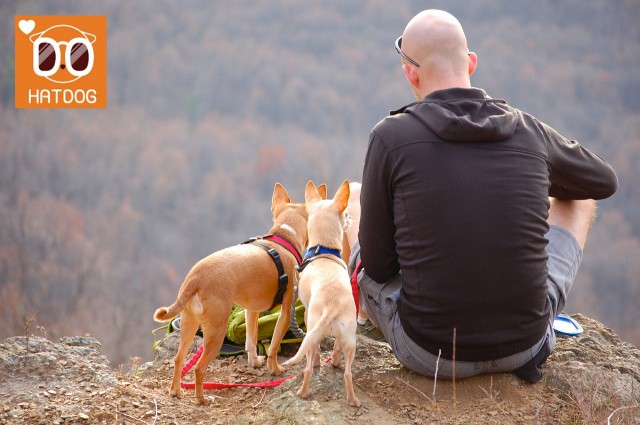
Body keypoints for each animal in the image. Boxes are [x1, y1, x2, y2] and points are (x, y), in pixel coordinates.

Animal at [154, 183, 306, 404]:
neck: (284, 237)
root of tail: (195, 279)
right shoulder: (286, 311)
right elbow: (274, 345)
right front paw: (275, 369)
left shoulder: (251, 310)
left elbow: (251, 340)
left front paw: (255, 362)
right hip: (216, 332)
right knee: (199, 368)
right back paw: (202, 399)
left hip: (189, 324)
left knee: (178, 358)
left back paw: (176, 391)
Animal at [284, 181, 362, 406]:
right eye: (346, 214)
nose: (351, 219)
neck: (323, 250)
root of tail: (331, 306)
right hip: (349, 338)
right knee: (347, 372)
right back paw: (352, 399)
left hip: (312, 329)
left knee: (309, 366)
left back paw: (303, 393)